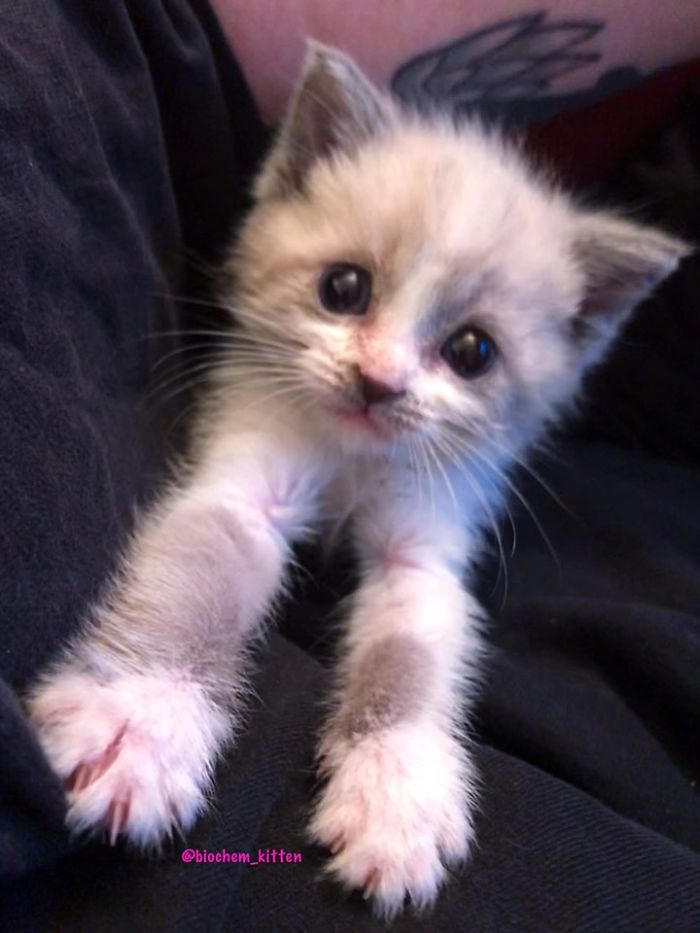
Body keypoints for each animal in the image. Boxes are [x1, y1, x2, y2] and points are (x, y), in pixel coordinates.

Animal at [26, 41, 688, 916]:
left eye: (472, 351)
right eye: (343, 288)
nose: (379, 382)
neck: (352, 457)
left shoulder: (427, 538)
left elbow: (408, 651)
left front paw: (395, 791)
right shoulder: (246, 475)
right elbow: (196, 584)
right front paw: (139, 718)